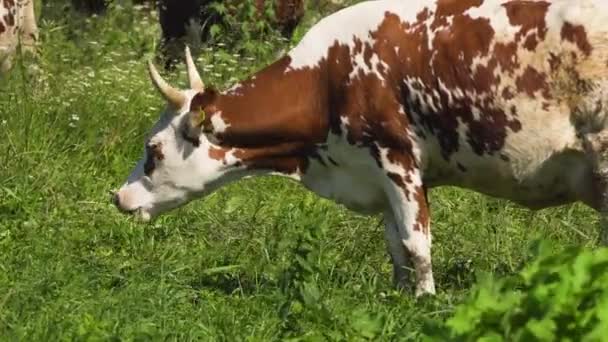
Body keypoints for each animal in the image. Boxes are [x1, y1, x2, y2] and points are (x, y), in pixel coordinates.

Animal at [115, 0, 608, 296]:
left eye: (152, 149)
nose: (118, 196)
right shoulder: (374, 172)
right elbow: (395, 244)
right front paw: (399, 297)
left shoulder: (397, 158)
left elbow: (416, 242)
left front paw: (426, 302)